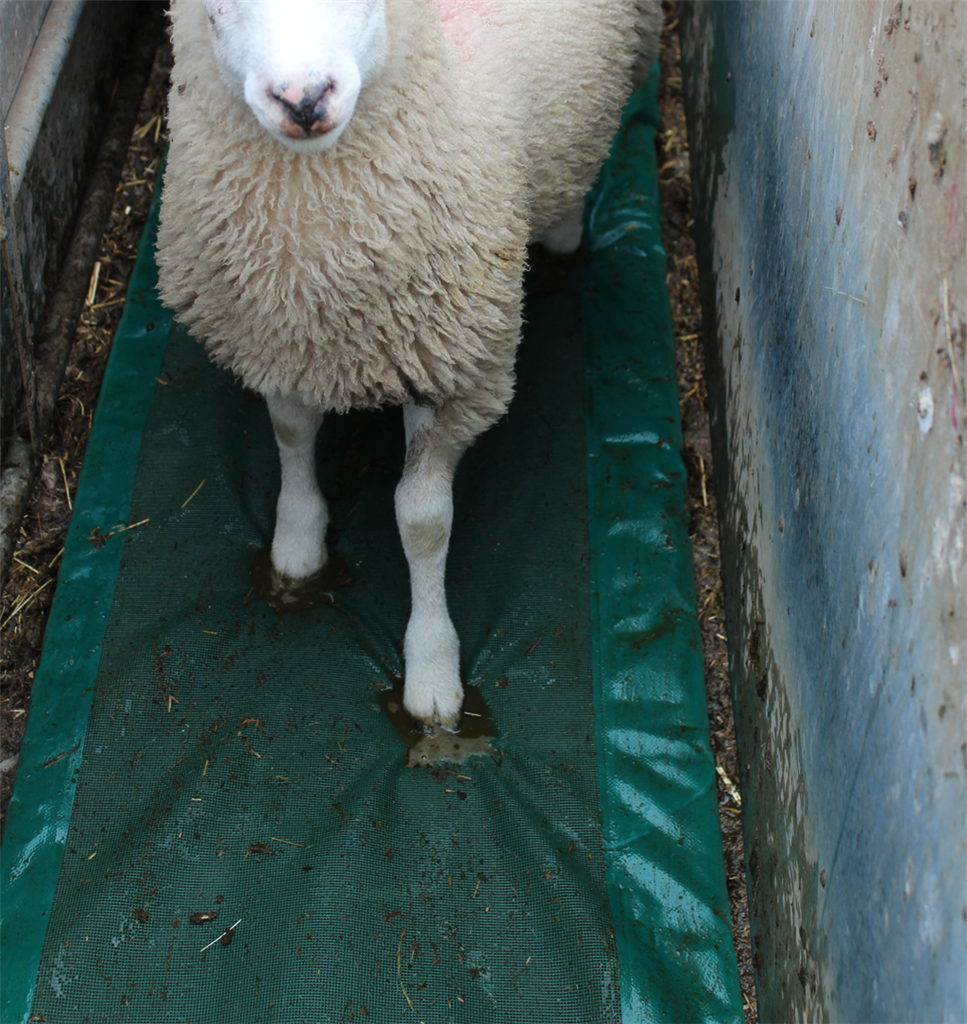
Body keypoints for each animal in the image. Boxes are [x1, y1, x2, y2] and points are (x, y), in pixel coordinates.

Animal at [157, 0, 660, 734]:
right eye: (215, 11)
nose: (304, 100)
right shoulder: (277, 337)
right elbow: (291, 434)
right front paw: (297, 541)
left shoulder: (455, 371)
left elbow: (422, 523)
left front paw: (431, 671)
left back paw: (565, 231)